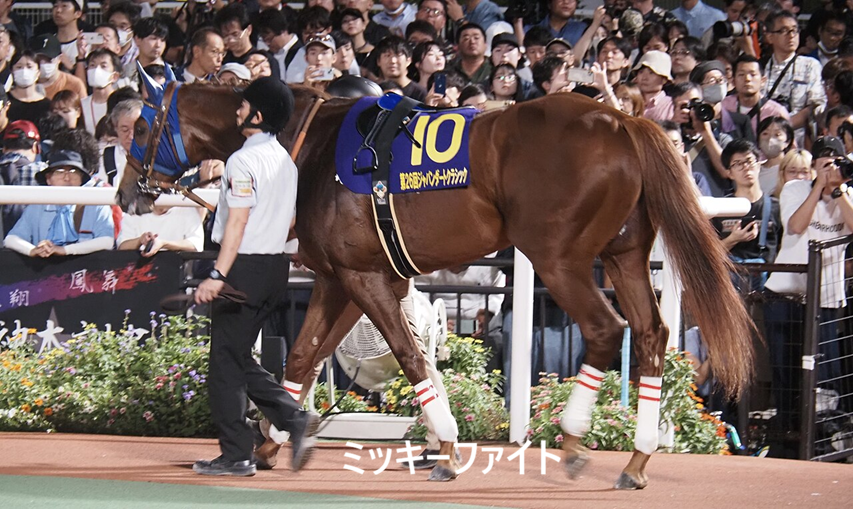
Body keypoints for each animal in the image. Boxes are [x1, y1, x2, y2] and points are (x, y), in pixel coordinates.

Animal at [116, 73, 756, 488]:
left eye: (139, 126)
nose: (125, 192)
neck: (306, 147)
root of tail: (622, 120)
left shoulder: (361, 277)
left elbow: (407, 356)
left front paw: (445, 447)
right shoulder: (342, 279)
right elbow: (303, 358)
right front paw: (277, 438)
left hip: (560, 259)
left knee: (604, 330)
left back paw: (574, 439)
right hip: (623, 254)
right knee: (649, 335)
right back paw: (636, 460)